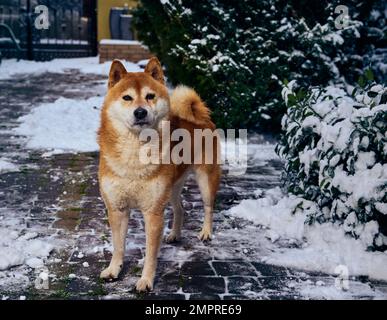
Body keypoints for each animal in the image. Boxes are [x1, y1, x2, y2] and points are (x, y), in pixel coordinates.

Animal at [98, 57, 221, 292]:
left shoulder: (153, 212)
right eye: (127, 97)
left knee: (209, 207)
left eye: (150, 96)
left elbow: (150, 254)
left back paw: (206, 232)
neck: (135, 151)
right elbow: (118, 246)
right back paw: (174, 234)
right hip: (171, 187)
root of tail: (202, 119)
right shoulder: (117, 208)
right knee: (180, 208)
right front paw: (114, 269)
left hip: (205, 179)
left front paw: (146, 280)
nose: (140, 112)